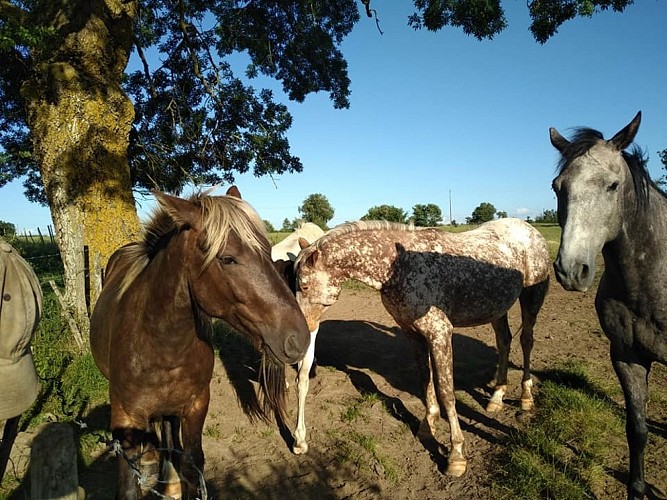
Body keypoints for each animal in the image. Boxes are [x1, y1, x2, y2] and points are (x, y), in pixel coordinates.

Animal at [90, 187, 310, 499]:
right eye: (227, 258)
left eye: (268, 252)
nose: (299, 337)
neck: (160, 346)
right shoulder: (125, 418)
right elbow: (129, 485)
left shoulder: (195, 407)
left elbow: (193, 467)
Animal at [291, 218, 550, 476]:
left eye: (304, 286)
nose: (303, 330)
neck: (399, 268)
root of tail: (530, 230)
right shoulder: (412, 334)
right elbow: (426, 380)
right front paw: (428, 426)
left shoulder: (440, 333)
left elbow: (446, 392)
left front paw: (456, 455)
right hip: (497, 308)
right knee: (504, 341)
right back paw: (496, 397)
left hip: (531, 297)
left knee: (526, 341)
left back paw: (526, 397)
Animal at [550, 112, 667, 500]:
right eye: (557, 186)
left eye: (613, 186)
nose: (572, 270)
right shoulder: (626, 357)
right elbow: (637, 430)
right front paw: (637, 489)